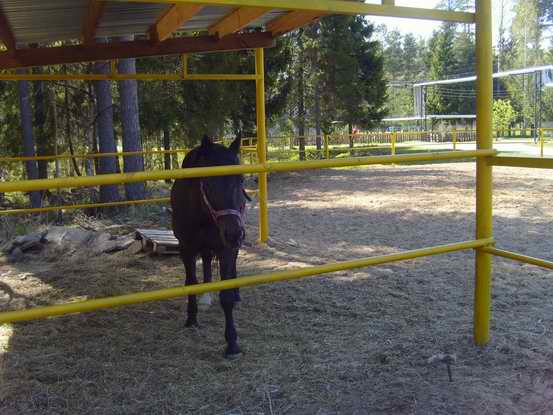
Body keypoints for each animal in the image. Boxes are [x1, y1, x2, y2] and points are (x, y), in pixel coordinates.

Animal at [169, 136, 249, 360]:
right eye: (208, 181)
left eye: (240, 179)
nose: (234, 233)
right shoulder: (185, 248)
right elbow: (191, 283)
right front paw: (191, 319)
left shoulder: (226, 249)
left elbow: (226, 297)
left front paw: (232, 344)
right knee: (205, 259)